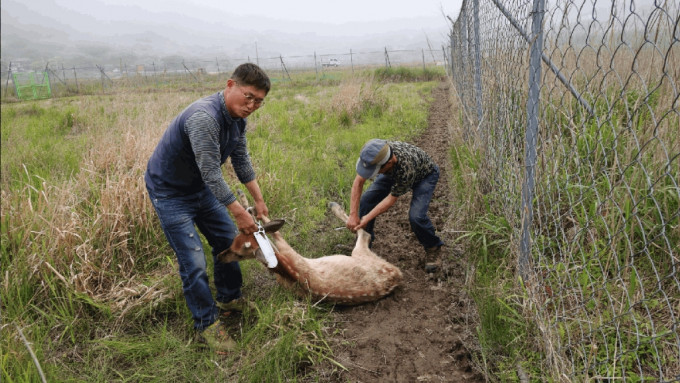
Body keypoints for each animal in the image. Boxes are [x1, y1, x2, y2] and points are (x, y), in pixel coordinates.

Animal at [218, 192, 402, 306]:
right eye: (233, 242)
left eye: (239, 254)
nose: (220, 256)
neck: (284, 272)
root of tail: (397, 275)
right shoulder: (289, 253)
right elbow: (274, 232)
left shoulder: (290, 253)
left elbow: (271, 229)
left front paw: (248, 204)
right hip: (361, 254)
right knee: (365, 234)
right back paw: (336, 208)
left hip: (362, 254)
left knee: (364, 233)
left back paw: (336, 208)